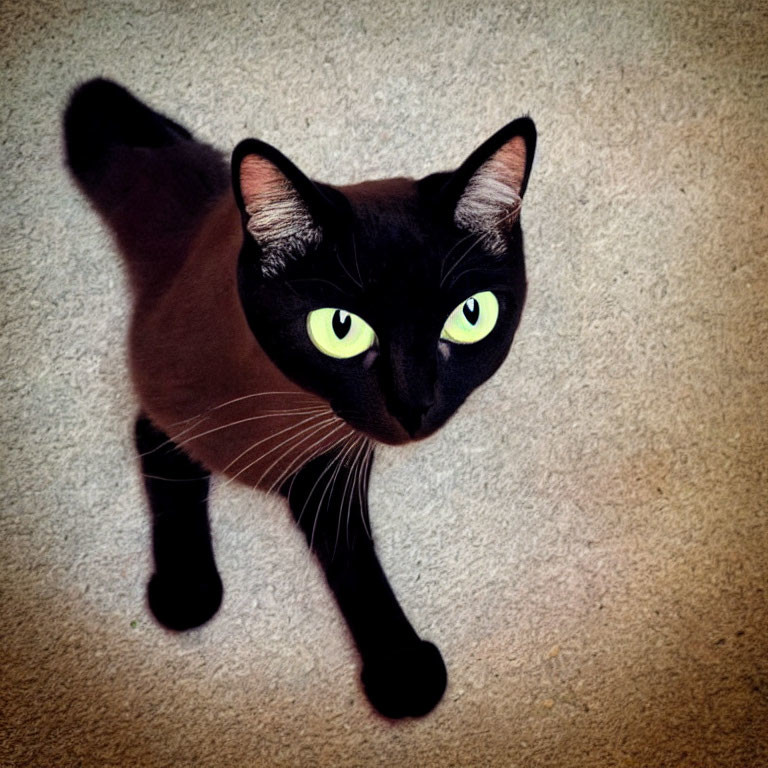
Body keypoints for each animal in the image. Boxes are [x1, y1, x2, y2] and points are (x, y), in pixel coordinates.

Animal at [64, 79, 536, 720]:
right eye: (340, 328)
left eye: (471, 316)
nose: (413, 405)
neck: (287, 396)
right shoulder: (199, 415)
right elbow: (169, 467)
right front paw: (187, 588)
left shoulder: (330, 458)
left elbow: (351, 554)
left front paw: (399, 663)